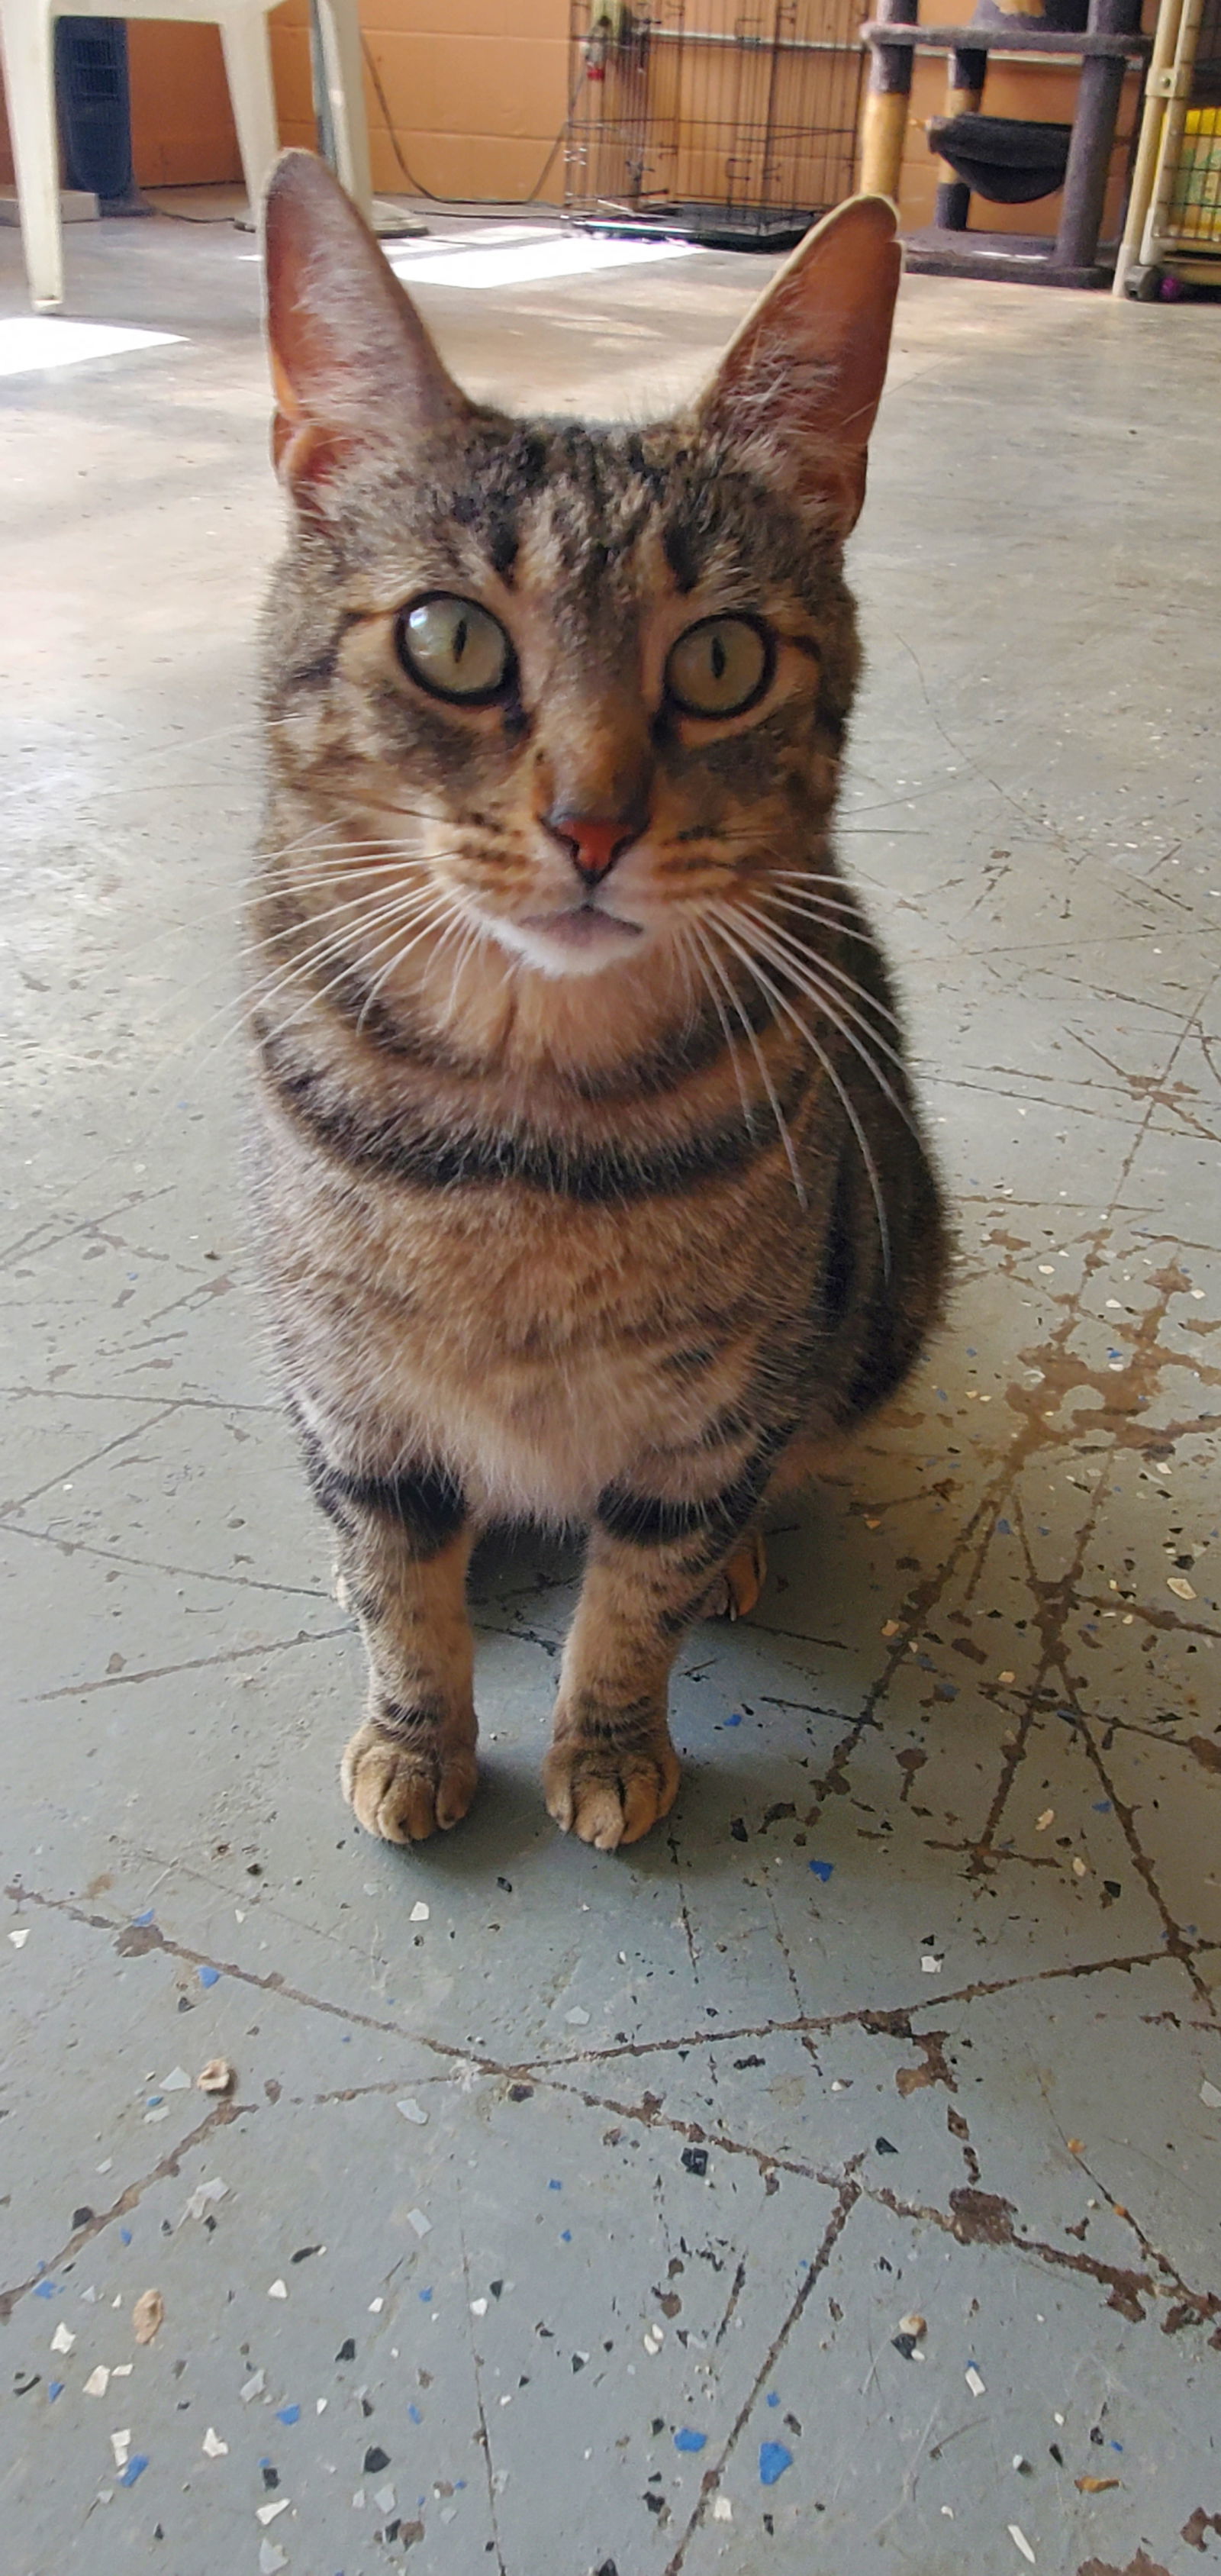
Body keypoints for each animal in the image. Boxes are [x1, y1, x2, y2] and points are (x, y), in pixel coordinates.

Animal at [252, 150, 948, 1855]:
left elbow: (637, 1595)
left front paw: (611, 1743)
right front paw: (415, 1737)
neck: (523, 1119)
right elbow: (401, 1586)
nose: (589, 823)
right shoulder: (353, 1392)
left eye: (719, 660)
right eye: (448, 638)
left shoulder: (702, 1422)